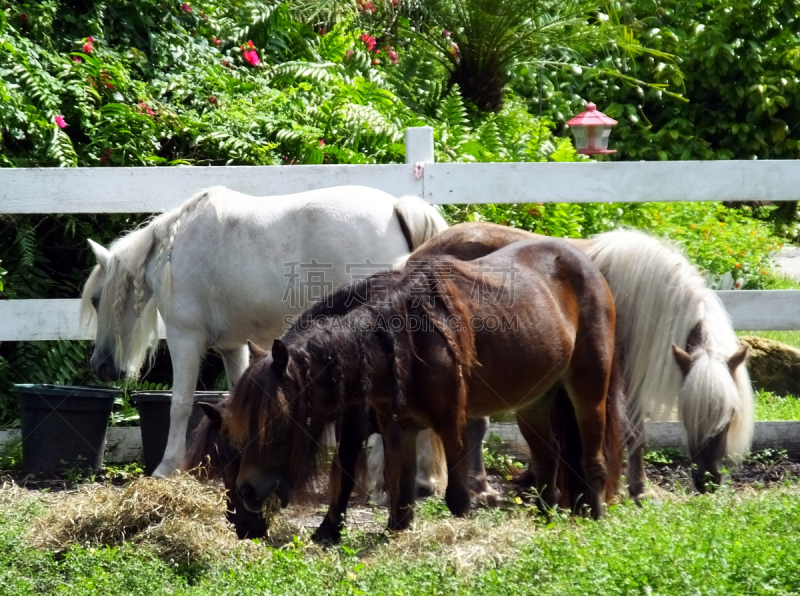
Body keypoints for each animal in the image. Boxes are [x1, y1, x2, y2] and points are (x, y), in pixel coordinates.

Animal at [79, 184, 450, 478]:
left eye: (96, 300)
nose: (99, 366)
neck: (176, 247)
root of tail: (396, 206)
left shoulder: (185, 339)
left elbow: (180, 404)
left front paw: (166, 468)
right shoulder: (232, 346)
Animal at [225, 237, 624, 532]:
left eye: (276, 422)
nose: (246, 489)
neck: (404, 347)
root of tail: (584, 260)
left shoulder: (450, 423)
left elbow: (455, 499)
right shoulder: (397, 427)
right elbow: (398, 493)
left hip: (588, 389)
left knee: (592, 456)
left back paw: (596, 514)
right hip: (533, 400)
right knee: (547, 457)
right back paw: (546, 517)